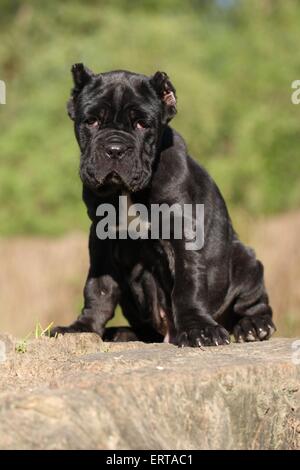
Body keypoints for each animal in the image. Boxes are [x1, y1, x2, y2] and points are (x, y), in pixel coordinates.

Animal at [50, 64, 276, 346]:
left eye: (142, 124)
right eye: (91, 121)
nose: (115, 149)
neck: (127, 192)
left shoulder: (183, 231)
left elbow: (188, 285)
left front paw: (199, 329)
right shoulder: (101, 237)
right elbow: (99, 287)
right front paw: (82, 327)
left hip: (245, 260)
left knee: (253, 303)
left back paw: (253, 326)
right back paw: (122, 333)